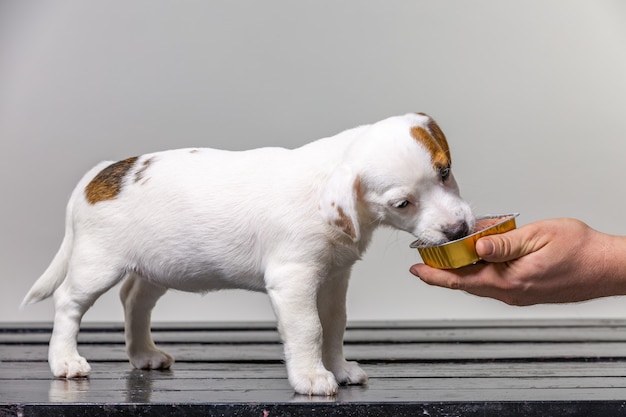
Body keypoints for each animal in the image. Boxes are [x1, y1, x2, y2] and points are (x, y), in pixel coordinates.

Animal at [23, 112, 472, 394]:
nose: (459, 230)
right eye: (402, 204)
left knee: (134, 300)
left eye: (445, 171)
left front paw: (339, 368)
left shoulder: (333, 278)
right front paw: (312, 377)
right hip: (96, 265)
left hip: (157, 268)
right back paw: (64, 360)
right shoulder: (294, 281)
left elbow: (334, 326)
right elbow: (309, 329)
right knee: (68, 303)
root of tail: (100, 174)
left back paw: (143, 354)